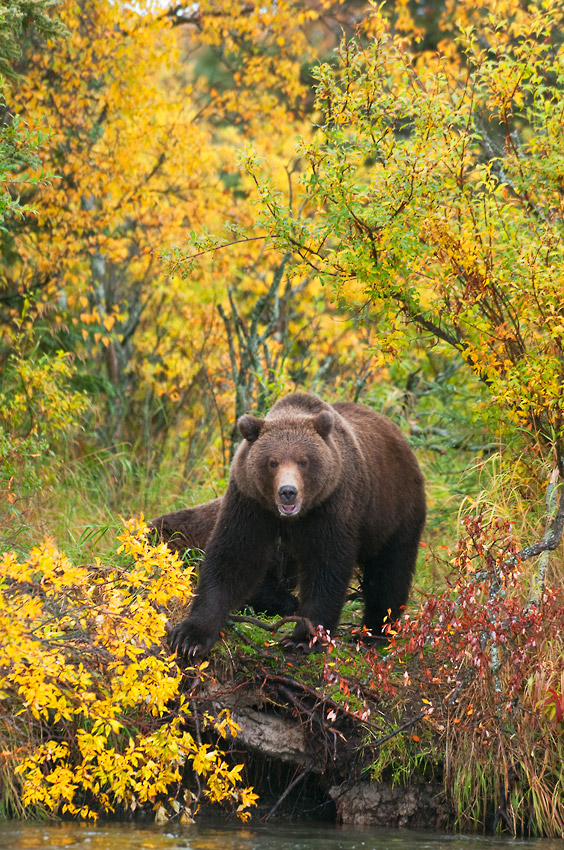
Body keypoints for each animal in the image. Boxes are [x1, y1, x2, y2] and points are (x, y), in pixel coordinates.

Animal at [170, 390, 426, 656]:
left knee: (389, 571)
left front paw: (302, 638)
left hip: (393, 509)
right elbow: (233, 557)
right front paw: (190, 637)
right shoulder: (250, 502)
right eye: (272, 462)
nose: (288, 492)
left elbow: (326, 567)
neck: (290, 519)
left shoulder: (331, 505)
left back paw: (375, 633)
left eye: (303, 461)